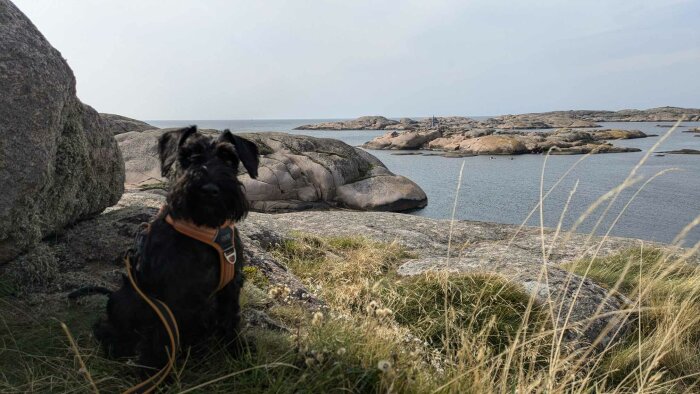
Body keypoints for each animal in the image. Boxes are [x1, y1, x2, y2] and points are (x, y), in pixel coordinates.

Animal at [87, 127, 260, 370]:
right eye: (188, 156)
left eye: (228, 158)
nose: (209, 189)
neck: (204, 230)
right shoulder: (165, 297)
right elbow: (160, 336)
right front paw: (154, 370)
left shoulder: (231, 286)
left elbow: (230, 319)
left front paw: (239, 352)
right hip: (126, 300)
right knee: (107, 327)